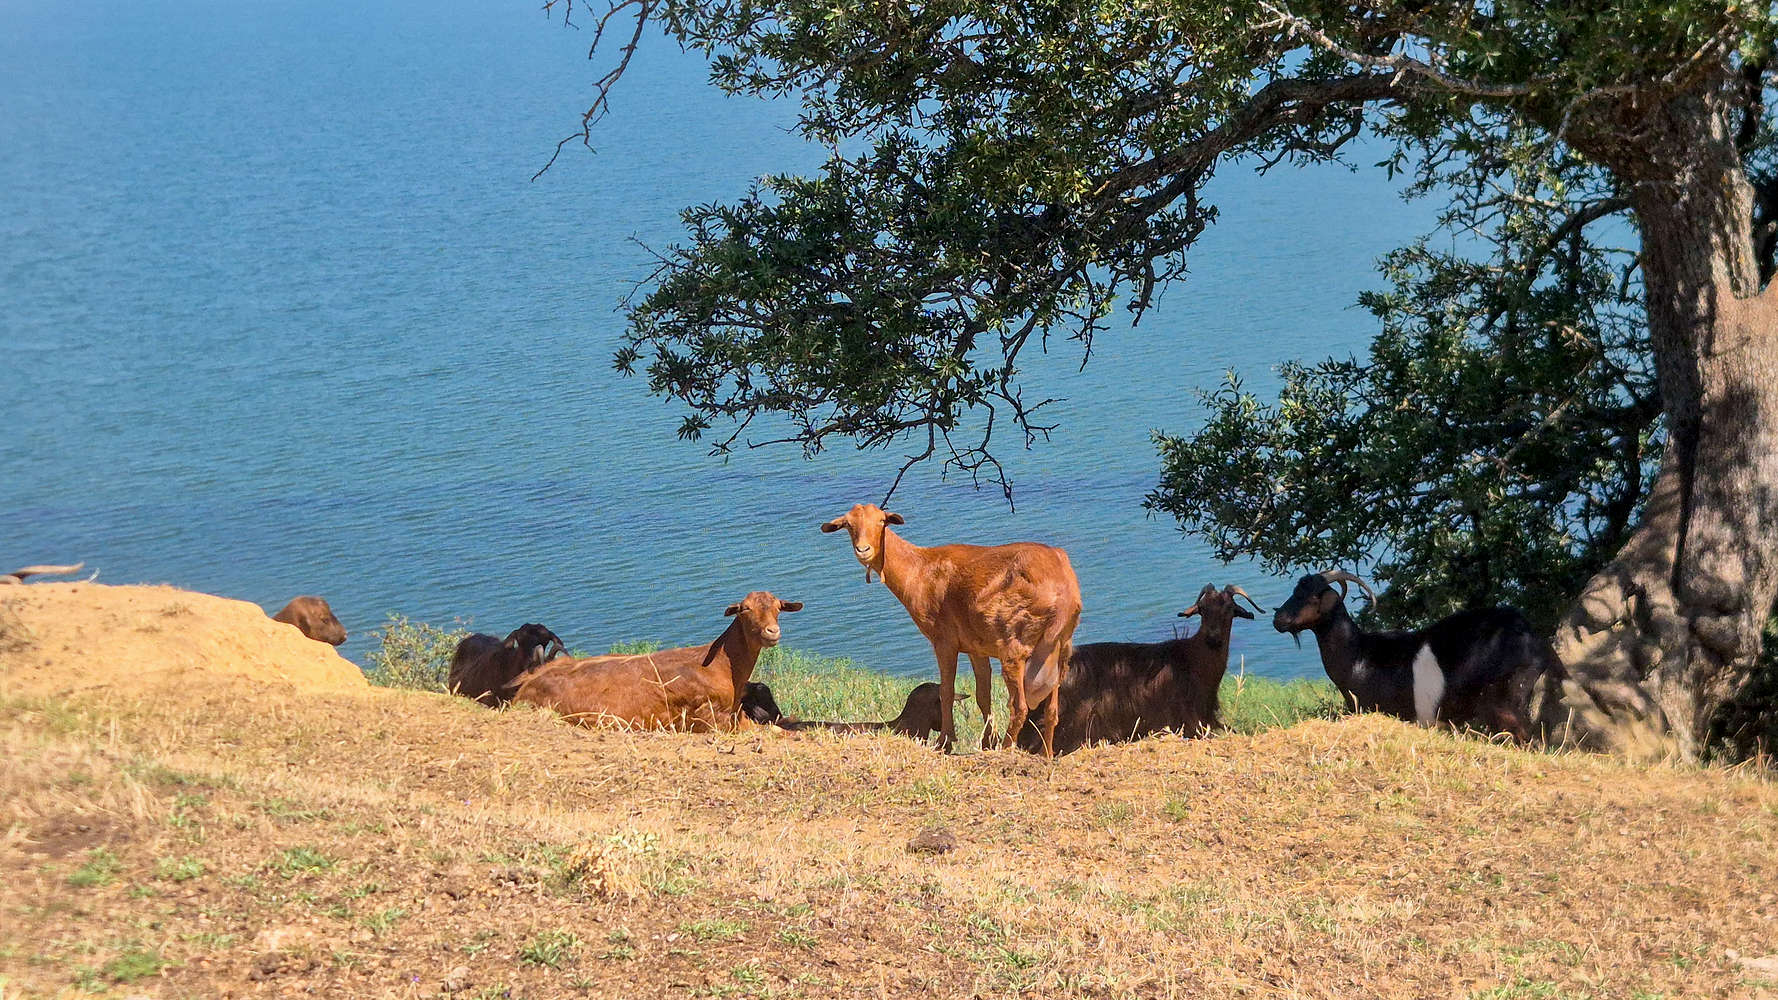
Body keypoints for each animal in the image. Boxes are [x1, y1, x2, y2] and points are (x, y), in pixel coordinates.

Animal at [512, 591, 801, 731]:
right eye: (745, 609)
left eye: (778, 607)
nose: (772, 632)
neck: (722, 667)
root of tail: (525, 686)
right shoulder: (712, 719)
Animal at [821, 503, 1082, 757]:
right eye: (849, 525)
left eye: (881, 521)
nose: (863, 549)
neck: (919, 571)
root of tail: (1064, 590)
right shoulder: (976, 646)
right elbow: (982, 695)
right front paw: (987, 742)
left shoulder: (943, 640)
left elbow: (946, 691)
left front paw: (944, 743)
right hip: (1059, 650)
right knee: (1052, 708)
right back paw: (1046, 754)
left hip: (1014, 646)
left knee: (1020, 706)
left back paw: (1006, 749)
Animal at [1272, 569, 1565, 742]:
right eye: (1294, 593)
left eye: (1312, 598)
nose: (1278, 620)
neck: (1357, 656)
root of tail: (1533, 639)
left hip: (1505, 698)